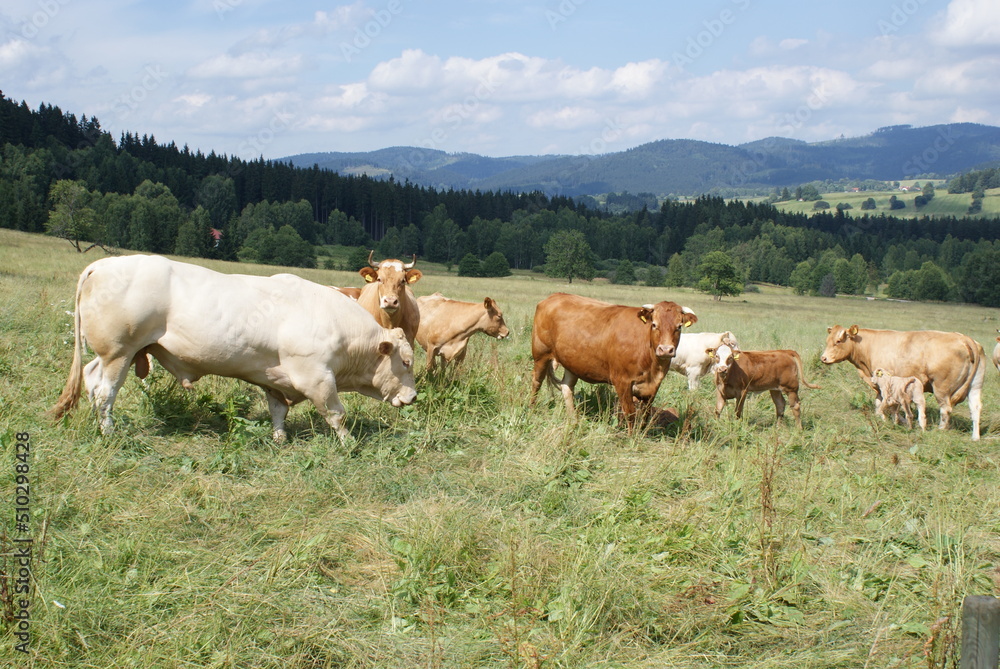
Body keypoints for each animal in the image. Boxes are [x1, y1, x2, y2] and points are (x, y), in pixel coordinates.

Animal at [528, 294, 700, 428]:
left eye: (679, 327)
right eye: (654, 324)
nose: (665, 349)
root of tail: (554, 296)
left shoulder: (653, 386)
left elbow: (645, 414)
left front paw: (641, 434)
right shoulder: (622, 381)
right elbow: (630, 413)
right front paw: (631, 438)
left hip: (572, 361)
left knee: (566, 387)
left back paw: (573, 419)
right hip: (541, 354)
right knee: (537, 382)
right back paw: (532, 408)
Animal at [820, 326, 984, 440]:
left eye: (838, 341)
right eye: (827, 341)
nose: (823, 358)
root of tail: (964, 338)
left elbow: (886, 405)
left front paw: (890, 420)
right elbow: (879, 403)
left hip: (941, 387)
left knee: (946, 409)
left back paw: (940, 429)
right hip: (975, 386)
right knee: (975, 408)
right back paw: (975, 437)